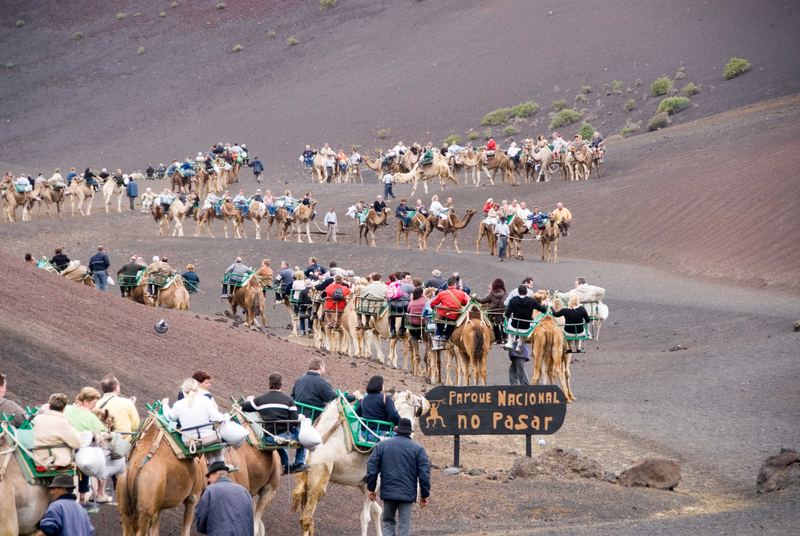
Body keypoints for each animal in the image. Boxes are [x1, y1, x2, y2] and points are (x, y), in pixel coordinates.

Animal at [292, 390, 432, 536]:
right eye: (417, 399)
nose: (427, 402)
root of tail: (309, 453)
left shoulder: (364, 485)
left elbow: (377, 511)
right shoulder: (373, 482)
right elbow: (365, 517)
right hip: (318, 480)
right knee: (306, 518)